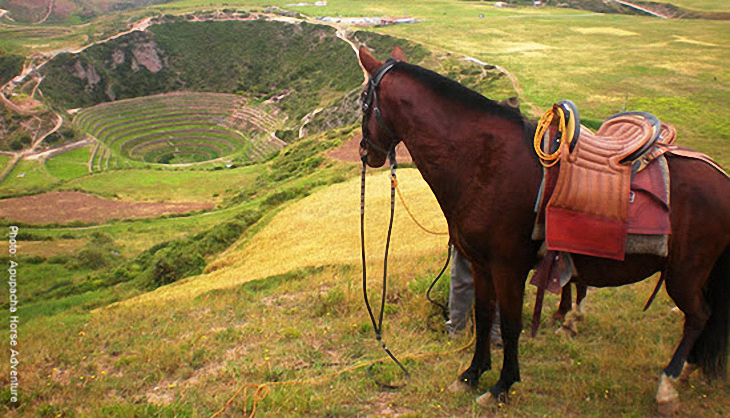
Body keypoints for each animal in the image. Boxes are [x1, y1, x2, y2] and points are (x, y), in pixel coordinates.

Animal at [358, 47, 728, 414]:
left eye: (362, 101)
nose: (366, 152)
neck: (485, 162)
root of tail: (721, 177)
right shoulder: (481, 266)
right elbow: (483, 316)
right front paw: (472, 374)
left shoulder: (508, 268)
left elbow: (510, 325)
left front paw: (502, 386)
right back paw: (688, 368)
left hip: (684, 273)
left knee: (698, 315)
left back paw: (668, 382)